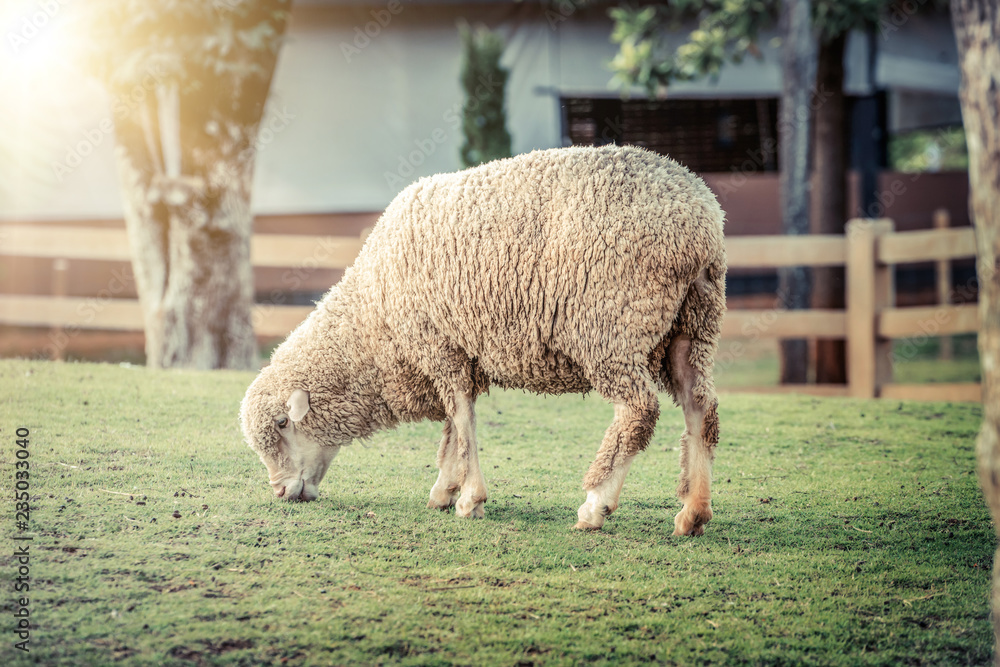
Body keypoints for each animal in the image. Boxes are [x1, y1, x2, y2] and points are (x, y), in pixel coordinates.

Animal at [242, 145, 728, 536]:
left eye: (282, 424)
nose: (281, 492)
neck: (371, 320)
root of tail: (702, 221)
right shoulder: (453, 352)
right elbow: (452, 430)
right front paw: (445, 488)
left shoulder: (438, 345)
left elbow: (462, 421)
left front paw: (469, 498)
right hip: (693, 326)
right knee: (700, 407)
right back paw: (693, 513)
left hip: (611, 326)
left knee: (638, 411)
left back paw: (595, 505)